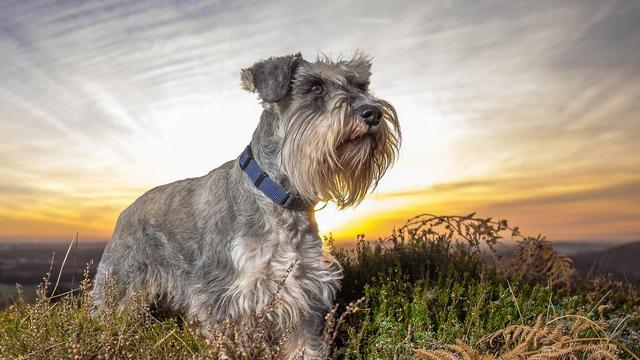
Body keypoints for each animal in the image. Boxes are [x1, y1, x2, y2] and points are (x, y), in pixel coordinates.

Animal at [92, 51, 400, 358]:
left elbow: (304, 348)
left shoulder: (303, 296)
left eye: (360, 84)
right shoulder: (225, 300)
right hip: (116, 288)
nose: (372, 112)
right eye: (315, 87)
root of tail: (124, 212)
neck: (279, 200)